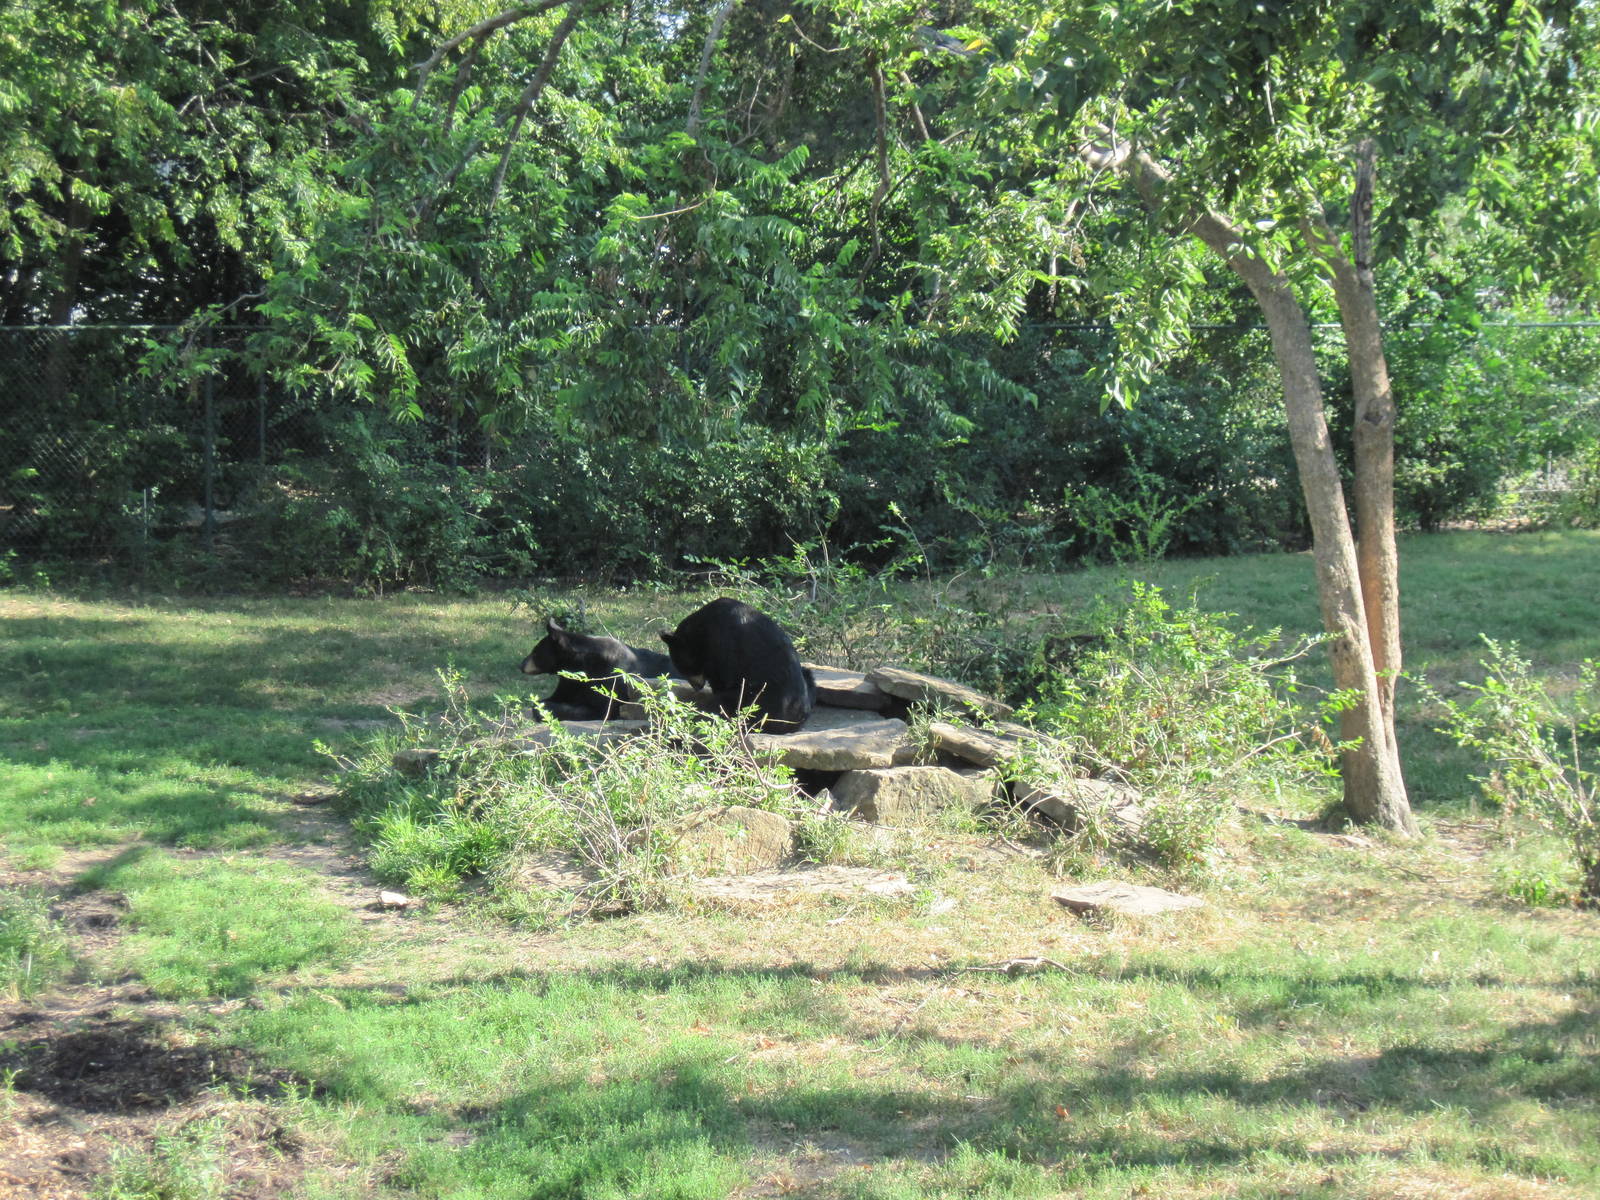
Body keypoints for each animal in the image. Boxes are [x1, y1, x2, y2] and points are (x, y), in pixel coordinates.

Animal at [520, 618, 678, 721]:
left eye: (535, 652)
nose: (521, 665)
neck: (579, 665)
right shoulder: (568, 681)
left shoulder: (612, 677)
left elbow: (602, 709)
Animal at [659, 597, 816, 734]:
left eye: (686, 668)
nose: (697, 687)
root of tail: (796, 721)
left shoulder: (722, 646)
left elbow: (722, 678)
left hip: (759, 699)